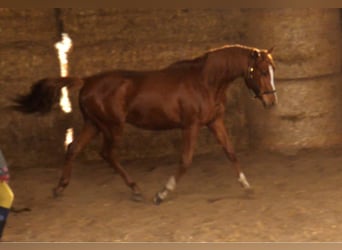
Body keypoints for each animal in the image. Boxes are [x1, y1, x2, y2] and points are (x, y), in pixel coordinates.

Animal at [12, 44, 276, 205]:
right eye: (262, 71)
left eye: (272, 70)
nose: (271, 101)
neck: (205, 82)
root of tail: (86, 81)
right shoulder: (190, 125)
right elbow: (185, 161)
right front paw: (162, 194)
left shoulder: (214, 121)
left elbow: (231, 153)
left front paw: (247, 187)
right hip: (112, 127)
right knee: (107, 153)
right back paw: (136, 189)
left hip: (93, 124)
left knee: (73, 148)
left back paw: (60, 188)